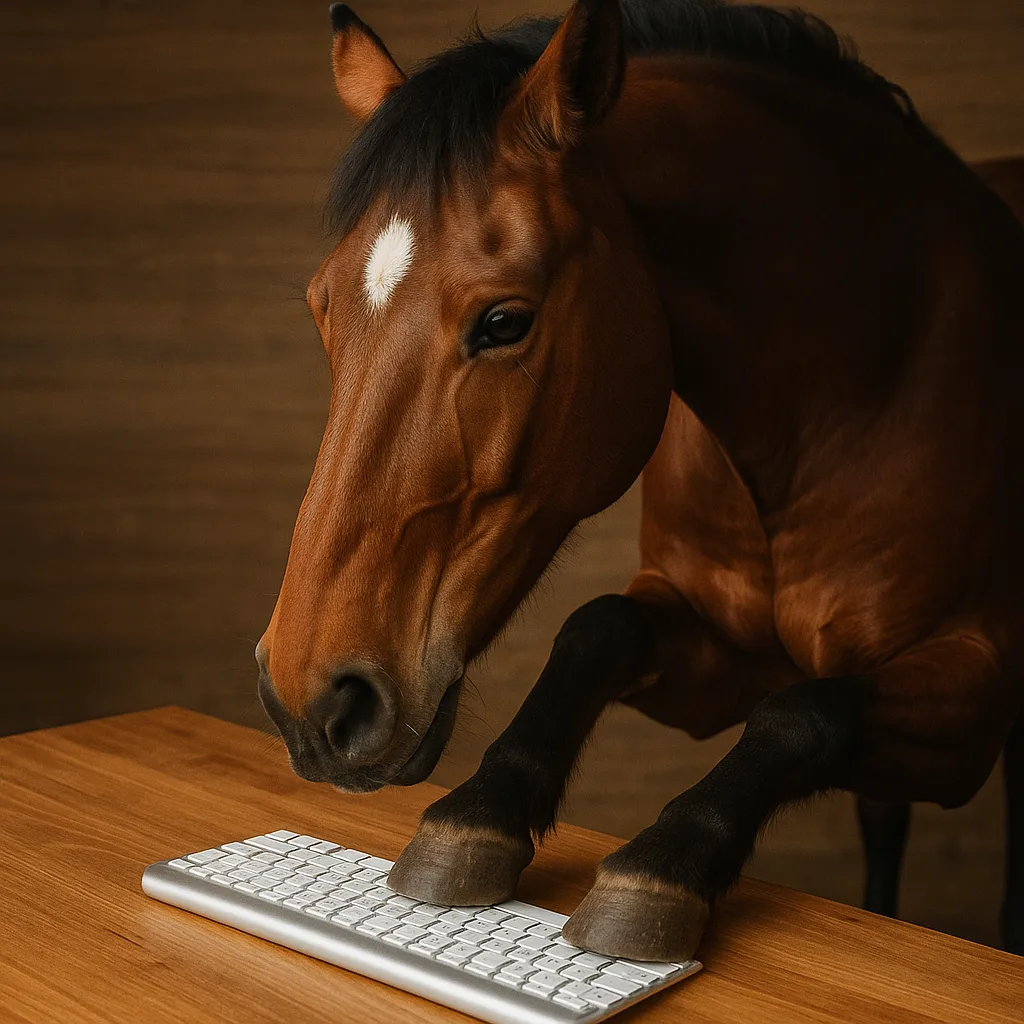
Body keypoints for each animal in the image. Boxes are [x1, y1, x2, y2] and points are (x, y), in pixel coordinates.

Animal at [256, 0, 1024, 961]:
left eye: (504, 322)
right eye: (322, 308)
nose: (310, 704)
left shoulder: (974, 685)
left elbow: (804, 714)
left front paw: (660, 866)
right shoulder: (712, 647)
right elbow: (598, 630)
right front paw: (477, 817)